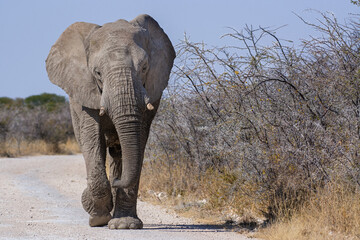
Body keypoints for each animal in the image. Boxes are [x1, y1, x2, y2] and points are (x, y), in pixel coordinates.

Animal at [45, 14, 175, 229]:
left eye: (144, 68)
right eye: (97, 72)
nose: (116, 181)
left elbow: (138, 140)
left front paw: (125, 225)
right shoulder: (85, 91)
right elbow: (91, 137)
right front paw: (97, 217)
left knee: (120, 152)